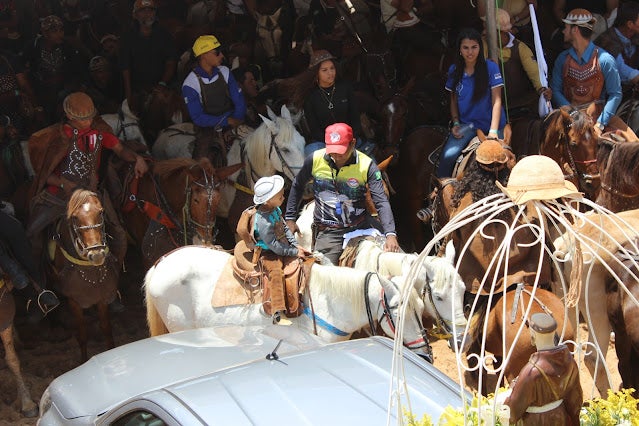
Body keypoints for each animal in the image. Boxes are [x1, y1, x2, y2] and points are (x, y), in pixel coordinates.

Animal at [48, 190, 119, 362]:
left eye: (101, 212)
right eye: (74, 217)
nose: (97, 254)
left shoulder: (101, 298)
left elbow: (107, 329)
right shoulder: (74, 301)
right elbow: (82, 334)